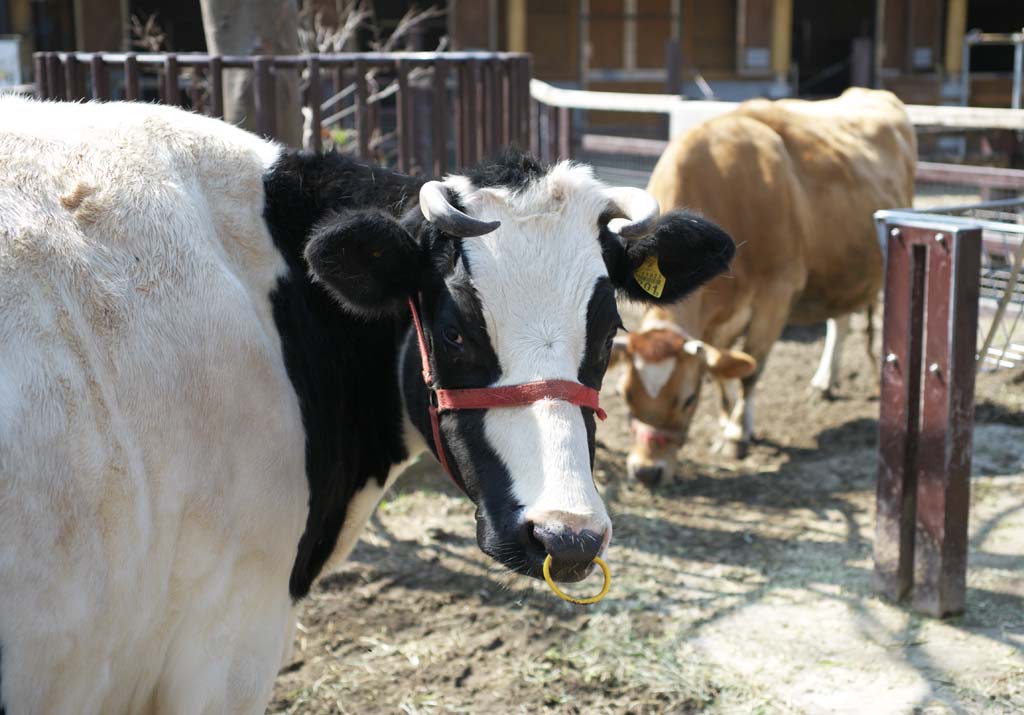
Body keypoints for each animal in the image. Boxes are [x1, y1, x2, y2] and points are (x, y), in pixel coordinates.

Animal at [610, 86, 917, 481]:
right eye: (625, 395)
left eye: (688, 400)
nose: (647, 471)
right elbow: (723, 372)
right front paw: (728, 423)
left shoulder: (777, 294)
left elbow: (750, 370)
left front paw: (737, 435)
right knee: (839, 320)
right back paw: (824, 382)